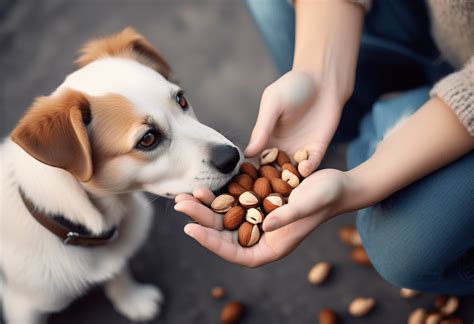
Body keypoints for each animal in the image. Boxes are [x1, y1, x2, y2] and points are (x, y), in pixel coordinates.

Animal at [0, 28, 241, 324]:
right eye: (147, 139)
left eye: (181, 99)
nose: (231, 158)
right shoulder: (21, 307)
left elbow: (118, 269)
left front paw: (131, 299)